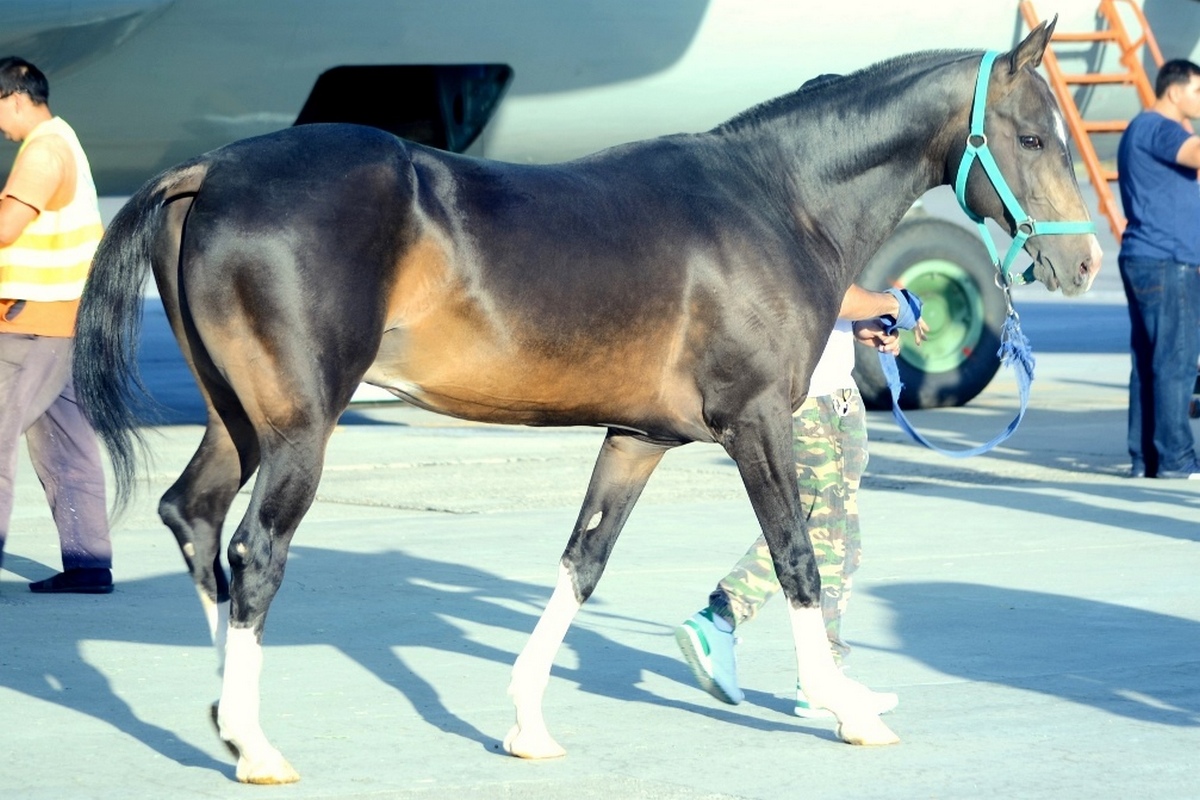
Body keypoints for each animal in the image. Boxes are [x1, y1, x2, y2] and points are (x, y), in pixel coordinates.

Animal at [72, 21, 1099, 786]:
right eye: (1033, 137)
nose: (1083, 260)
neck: (772, 201)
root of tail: (210, 170)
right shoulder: (756, 424)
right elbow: (797, 555)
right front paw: (846, 710)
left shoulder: (636, 438)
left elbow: (583, 562)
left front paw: (527, 723)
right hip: (299, 427)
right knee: (255, 549)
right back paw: (254, 744)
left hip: (239, 420)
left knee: (195, 516)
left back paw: (221, 713)